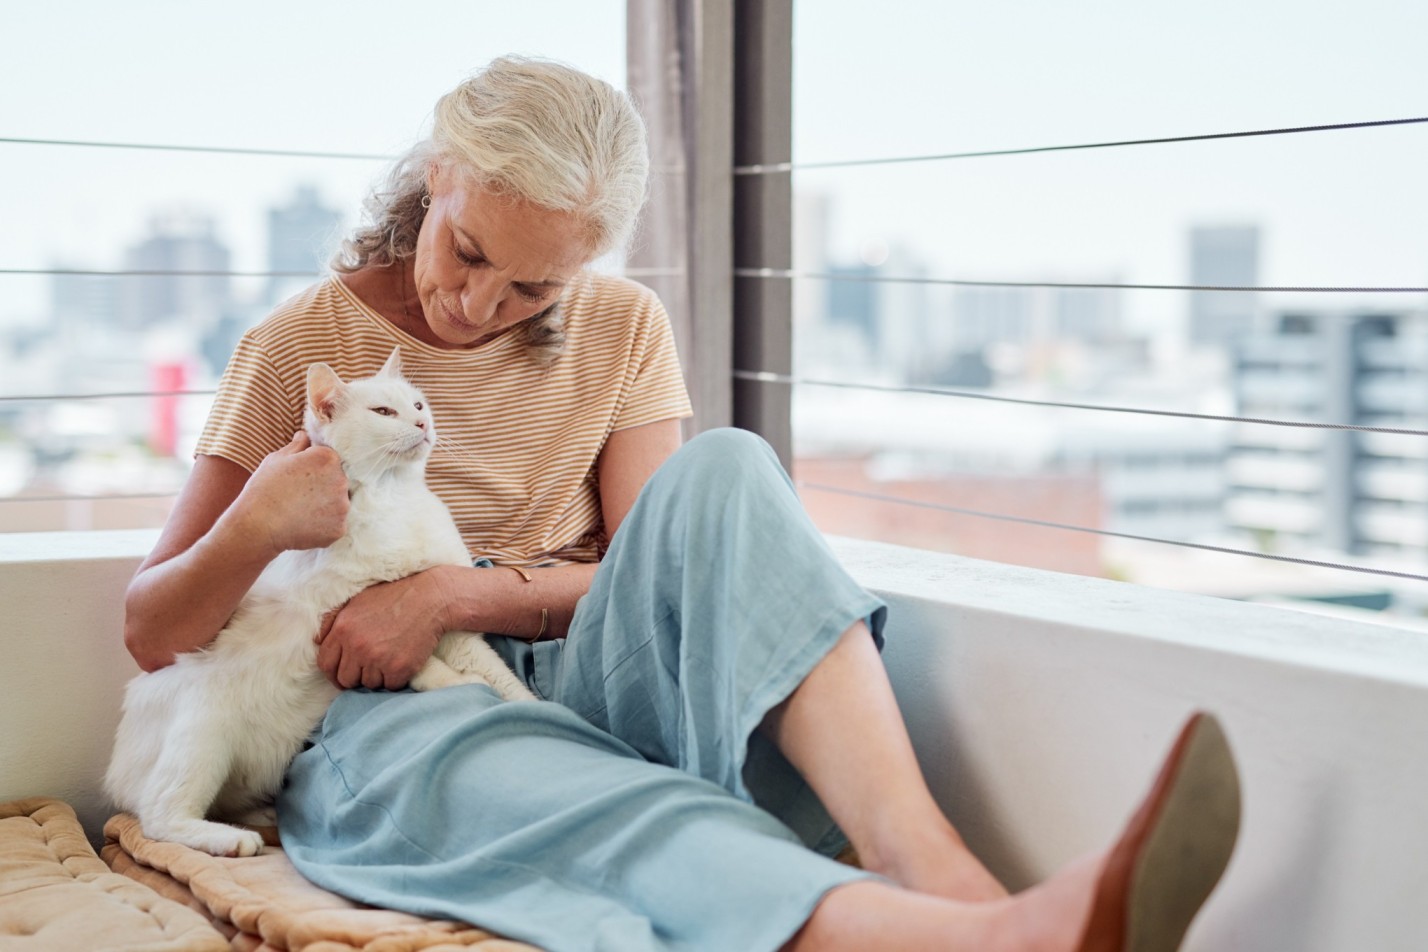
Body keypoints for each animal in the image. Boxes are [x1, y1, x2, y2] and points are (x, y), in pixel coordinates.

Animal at [102, 348, 536, 856]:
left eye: (417, 404)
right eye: (383, 412)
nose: (422, 424)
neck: (394, 497)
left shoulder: (448, 625)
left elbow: (501, 676)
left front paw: (536, 707)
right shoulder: (345, 619)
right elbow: (425, 664)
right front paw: (459, 684)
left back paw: (260, 816)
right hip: (203, 730)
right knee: (160, 816)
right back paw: (231, 839)